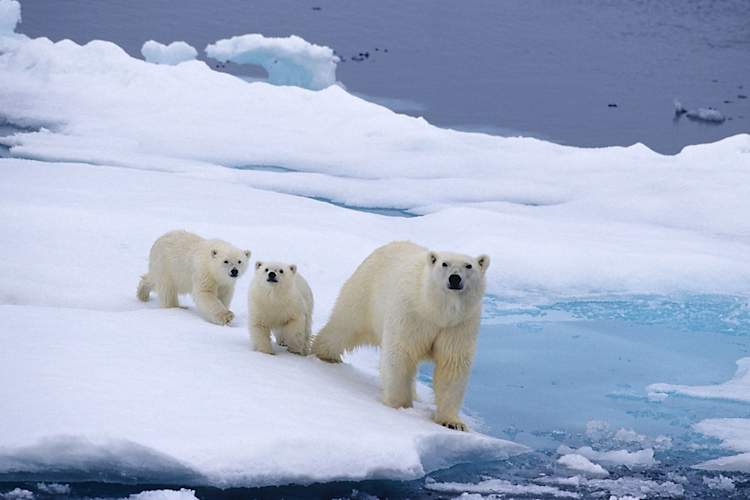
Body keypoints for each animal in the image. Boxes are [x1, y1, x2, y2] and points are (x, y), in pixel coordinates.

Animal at [311, 241, 490, 431]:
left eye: (468, 265)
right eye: (444, 264)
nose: (454, 278)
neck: (435, 310)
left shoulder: (459, 324)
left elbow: (452, 363)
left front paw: (452, 422)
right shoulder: (411, 313)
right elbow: (401, 352)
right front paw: (401, 407)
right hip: (365, 292)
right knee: (343, 327)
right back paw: (325, 355)